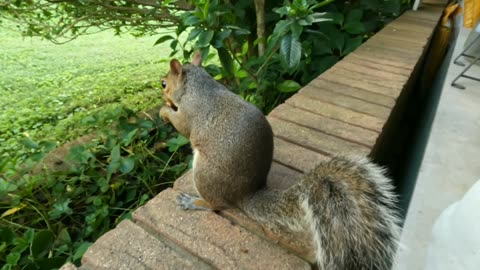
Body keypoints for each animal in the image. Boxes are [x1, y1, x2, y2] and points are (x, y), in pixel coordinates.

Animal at [159, 51, 400, 268]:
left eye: (163, 84)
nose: (163, 95)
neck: (197, 87)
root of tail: (245, 194)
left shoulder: (189, 113)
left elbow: (181, 125)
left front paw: (164, 112)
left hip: (204, 172)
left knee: (217, 204)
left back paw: (195, 202)